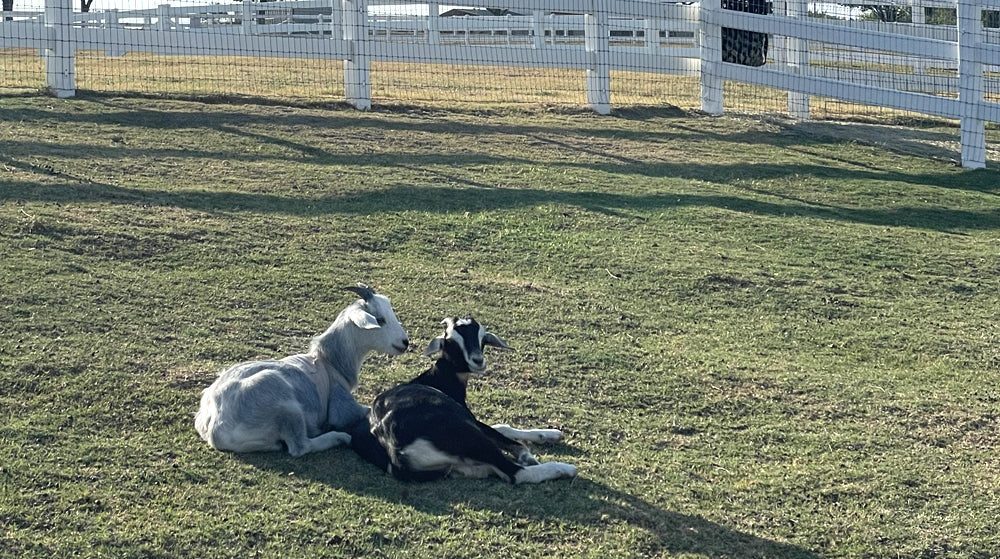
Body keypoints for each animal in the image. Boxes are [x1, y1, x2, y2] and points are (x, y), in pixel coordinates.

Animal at [195, 284, 406, 456]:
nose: (405, 342)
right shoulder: (342, 408)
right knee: (301, 447)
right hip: (287, 407)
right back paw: (338, 438)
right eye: (380, 319)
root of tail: (215, 429)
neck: (330, 362)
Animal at [350, 320, 580, 486]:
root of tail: (394, 448)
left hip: (458, 464)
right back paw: (564, 468)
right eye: (450, 341)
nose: (477, 360)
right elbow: (505, 435)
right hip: (470, 436)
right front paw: (531, 451)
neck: (437, 379)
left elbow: (501, 427)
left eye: (481, 337)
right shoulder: (470, 420)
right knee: (515, 473)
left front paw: (549, 434)